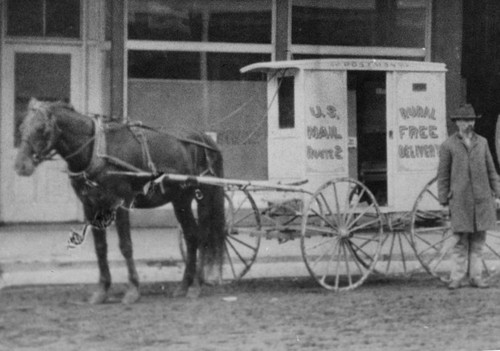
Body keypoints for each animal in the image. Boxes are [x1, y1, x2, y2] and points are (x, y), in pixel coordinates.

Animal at [13, 98, 226, 306]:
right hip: (180, 199)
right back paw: (184, 285)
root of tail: (205, 139)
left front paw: (133, 290)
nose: (20, 166)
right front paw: (102, 290)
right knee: (191, 236)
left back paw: (196, 286)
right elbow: (100, 248)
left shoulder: (120, 203)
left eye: (41, 128)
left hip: (204, 196)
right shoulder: (90, 206)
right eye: (21, 126)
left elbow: (125, 245)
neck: (97, 151)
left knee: (203, 236)